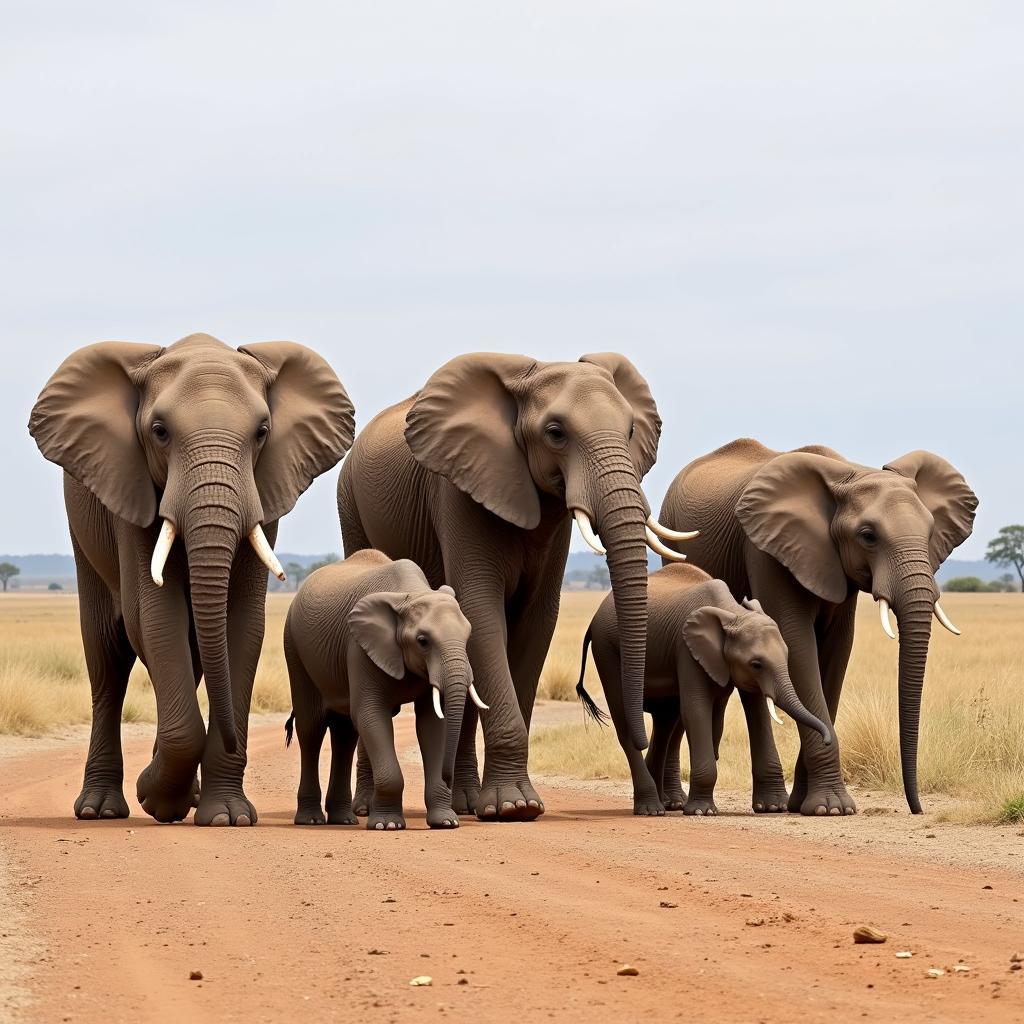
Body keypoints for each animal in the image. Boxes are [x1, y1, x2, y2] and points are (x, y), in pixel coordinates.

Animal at [29, 333, 356, 823]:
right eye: (159, 431)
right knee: (107, 656)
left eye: (262, 432)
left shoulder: (265, 495)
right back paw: (99, 810)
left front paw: (226, 816)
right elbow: (155, 619)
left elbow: (244, 625)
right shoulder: (132, 492)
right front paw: (158, 798)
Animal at [282, 548, 485, 827]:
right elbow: (370, 713)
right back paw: (311, 820)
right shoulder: (359, 647)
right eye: (423, 641)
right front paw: (387, 825)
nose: (448, 778)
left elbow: (432, 722)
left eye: (468, 636)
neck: (411, 593)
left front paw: (445, 823)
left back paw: (344, 820)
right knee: (311, 729)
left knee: (345, 734)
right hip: (294, 648)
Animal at [335, 352, 696, 823]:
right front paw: (514, 807)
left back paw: (466, 804)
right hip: (350, 504)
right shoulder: (457, 491)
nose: (642, 736)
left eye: (632, 430)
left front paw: (514, 803)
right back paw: (367, 809)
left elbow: (535, 623)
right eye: (556, 433)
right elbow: (481, 612)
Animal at [577, 561, 831, 815]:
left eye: (786, 656)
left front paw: (773, 807)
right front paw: (702, 811)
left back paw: (667, 804)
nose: (827, 740)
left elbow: (757, 712)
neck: (733, 612)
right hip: (606, 649)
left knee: (666, 720)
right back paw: (651, 809)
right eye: (756, 664)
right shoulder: (687, 650)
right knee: (626, 719)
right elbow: (696, 710)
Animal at [659, 440, 978, 815]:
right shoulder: (768, 551)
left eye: (930, 533)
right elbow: (797, 645)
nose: (917, 808)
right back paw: (677, 803)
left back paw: (773, 804)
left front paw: (807, 803)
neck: (851, 474)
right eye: (868, 536)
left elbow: (836, 653)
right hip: (672, 537)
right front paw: (832, 808)